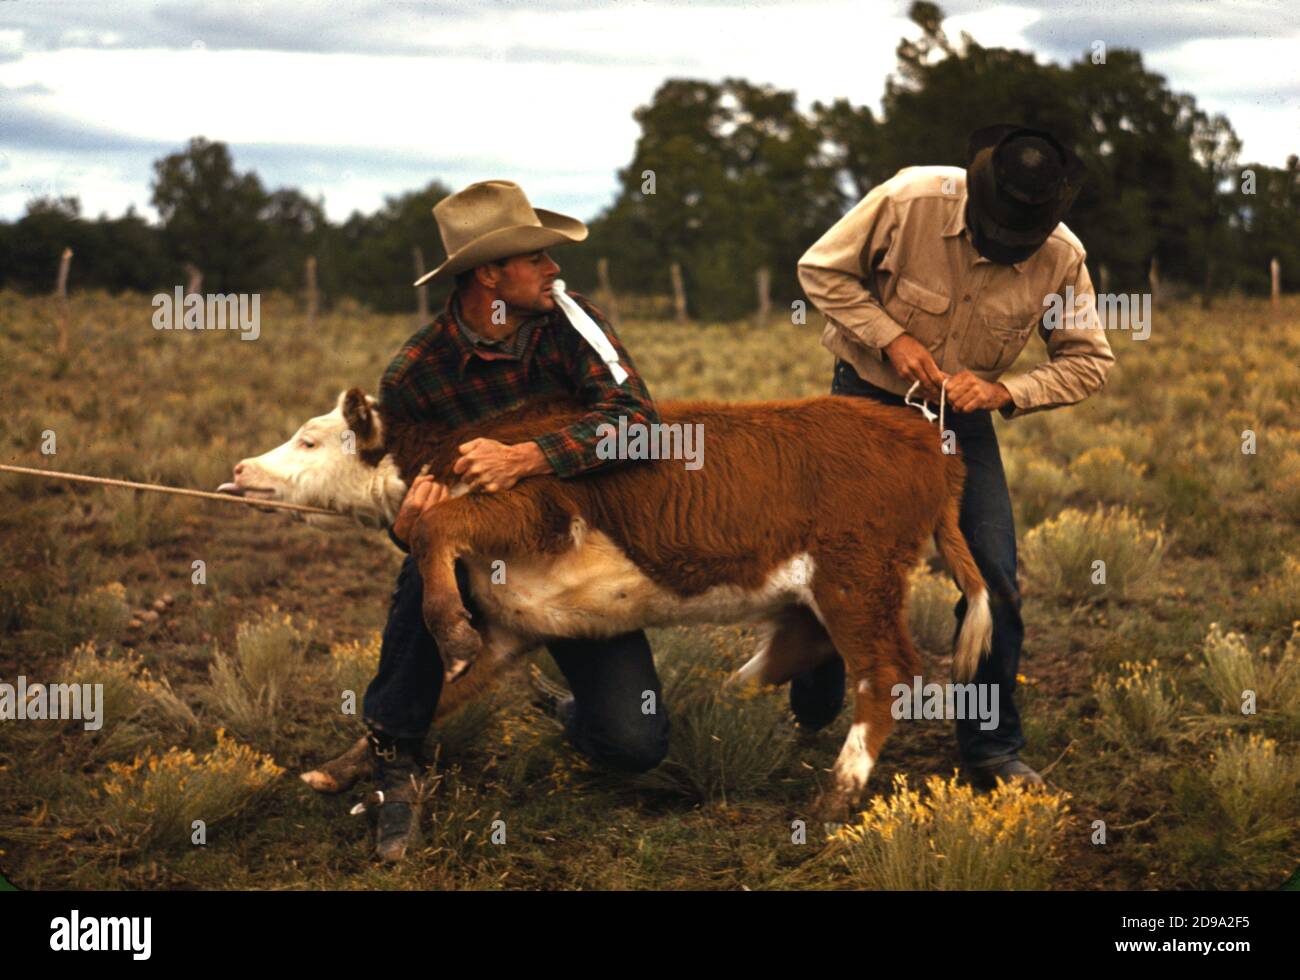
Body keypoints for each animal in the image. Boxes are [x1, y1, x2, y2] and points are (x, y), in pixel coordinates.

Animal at [218, 388, 992, 818]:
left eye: (310, 439)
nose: (240, 469)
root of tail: (927, 439)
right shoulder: (513, 627)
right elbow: (443, 693)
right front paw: (339, 767)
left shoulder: (530, 511)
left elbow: (434, 530)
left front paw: (449, 633)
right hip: (829, 588)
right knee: (799, 649)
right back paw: (724, 701)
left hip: (857, 578)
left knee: (886, 672)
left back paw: (837, 792)